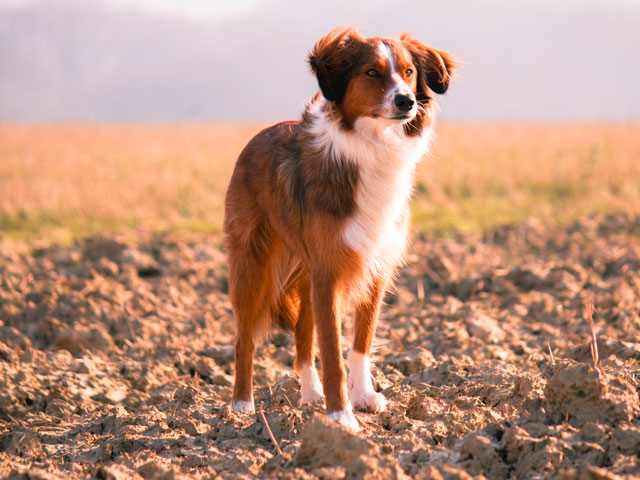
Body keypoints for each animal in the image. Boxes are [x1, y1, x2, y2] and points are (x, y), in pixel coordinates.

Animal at [225, 26, 456, 432]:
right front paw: (340, 415)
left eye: (409, 72)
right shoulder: (329, 272)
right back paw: (242, 406)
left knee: (302, 334)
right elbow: (332, 349)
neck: (374, 145)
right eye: (371, 72)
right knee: (245, 339)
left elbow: (360, 343)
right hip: (252, 264)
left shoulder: (373, 266)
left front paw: (363, 397)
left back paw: (310, 394)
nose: (406, 101)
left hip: (306, 272)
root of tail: (258, 136)